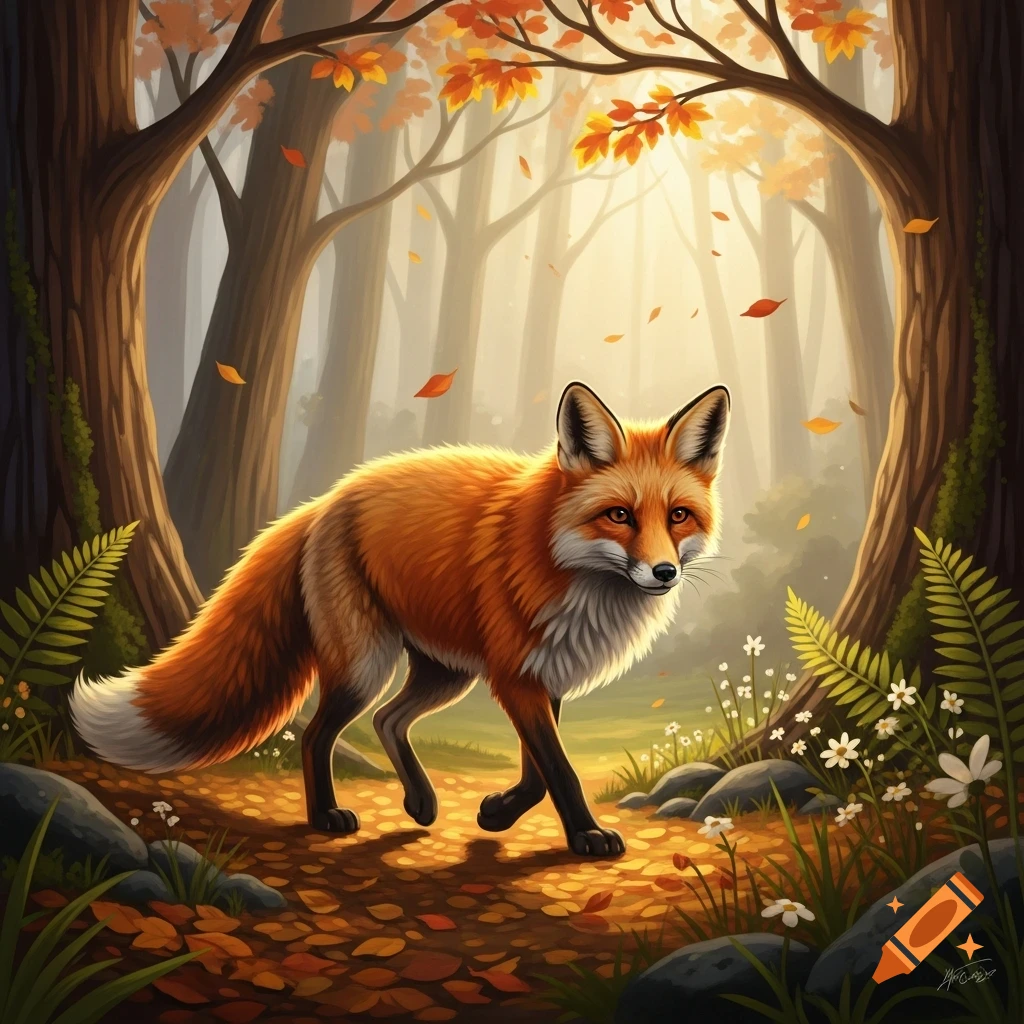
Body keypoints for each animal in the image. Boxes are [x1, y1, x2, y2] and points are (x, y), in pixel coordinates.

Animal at [70, 381, 730, 858]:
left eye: (677, 516)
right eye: (619, 515)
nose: (663, 573)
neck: (565, 565)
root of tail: (325, 499)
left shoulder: (546, 676)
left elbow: (538, 772)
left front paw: (496, 813)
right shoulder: (516, 678)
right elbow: (558, 772)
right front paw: (586, 837)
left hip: (445, 673)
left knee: (388, 720)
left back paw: (420, 802)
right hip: (367, 665)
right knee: (317, 733)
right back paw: (325, 816)